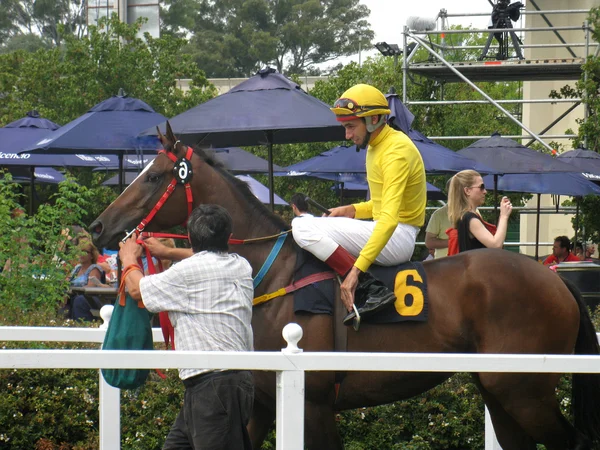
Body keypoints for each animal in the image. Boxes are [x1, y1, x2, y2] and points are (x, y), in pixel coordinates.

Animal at [90, 123, 600, 450]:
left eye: (155, 176)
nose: (98, 227)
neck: (271, 274)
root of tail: (555, 280)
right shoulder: (261, 402)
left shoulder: (313, 404)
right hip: (500, 390)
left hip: (524, 390)